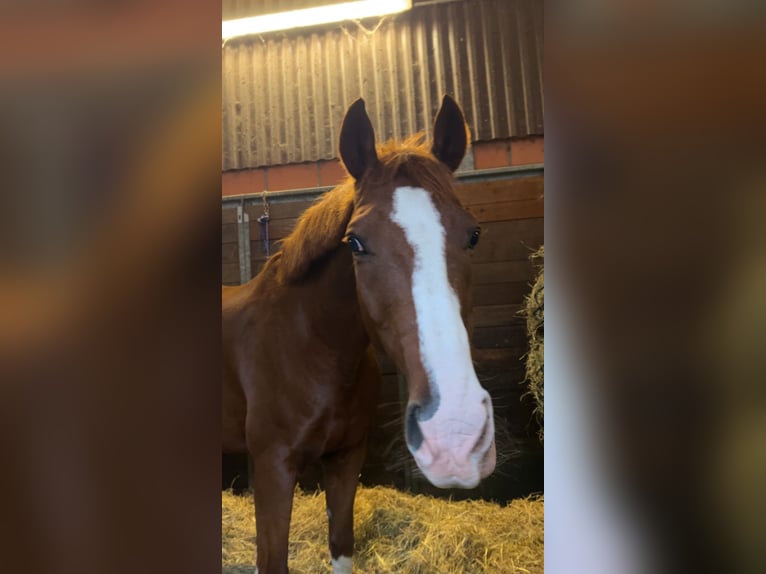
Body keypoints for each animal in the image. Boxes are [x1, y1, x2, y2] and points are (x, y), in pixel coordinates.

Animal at [222, 97, 498, 572]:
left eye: (474, 234)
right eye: (355, 242)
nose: (455, 436)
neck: (308, 346)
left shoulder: (346, 457)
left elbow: (341, 543)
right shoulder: (273, 465)